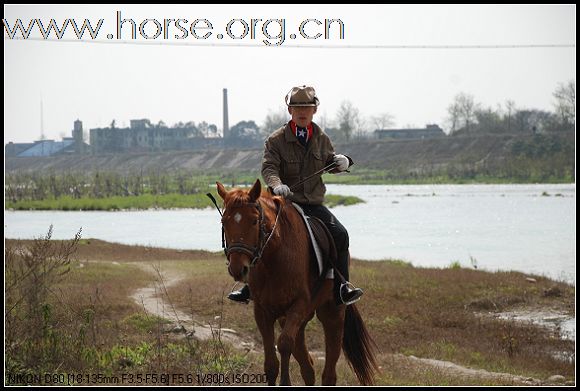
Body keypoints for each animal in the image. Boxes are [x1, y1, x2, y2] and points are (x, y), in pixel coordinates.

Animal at [215, 180, 378, 386]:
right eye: (224, 221)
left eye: (254, 220)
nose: (238, 269)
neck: (274, 258)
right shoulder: (262, 311)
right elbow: (271, 363)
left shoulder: (299, 305)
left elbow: (284, 344)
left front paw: (285, 381)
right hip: (296, 320)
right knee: (308, 367)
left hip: (332, 314)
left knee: (329, 372)